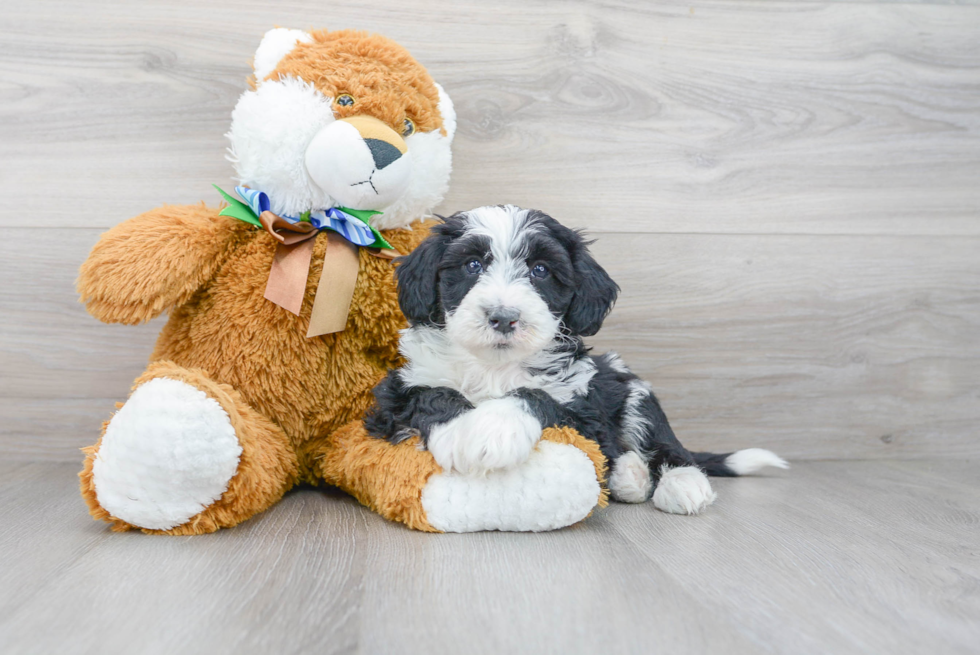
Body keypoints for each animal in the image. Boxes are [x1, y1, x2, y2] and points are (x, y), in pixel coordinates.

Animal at [368, 208, 788, 516]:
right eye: (472, 265)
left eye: (540, 270)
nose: (504, 317)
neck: (494, 366)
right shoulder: (396, 391)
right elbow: (430, 394)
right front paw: (462, 430)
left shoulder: (583, 411)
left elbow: (537, 397)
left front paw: (494, 429)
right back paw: (629, 476)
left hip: (631, 388)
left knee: (666, 444)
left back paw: (681, 482)